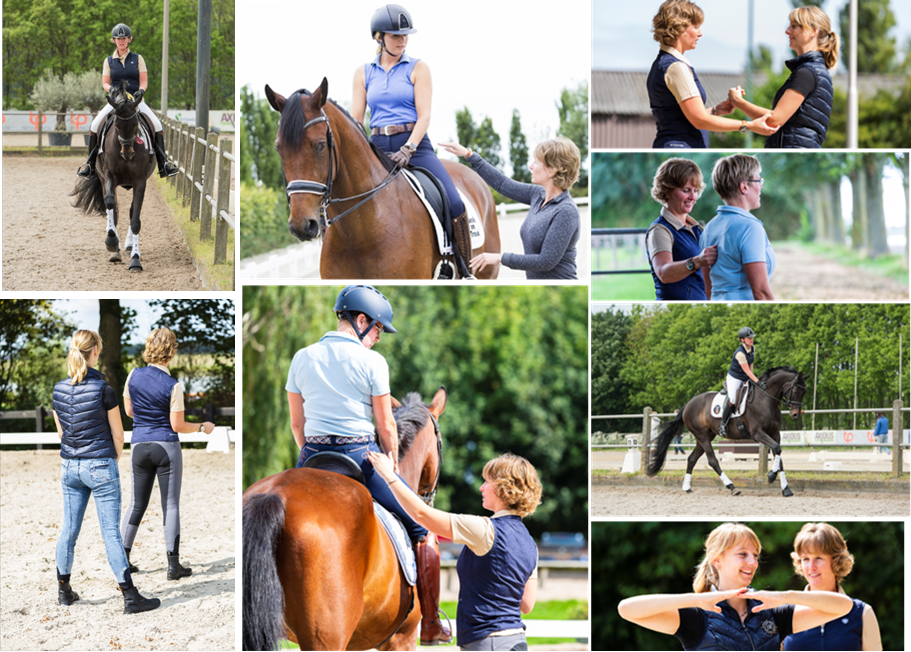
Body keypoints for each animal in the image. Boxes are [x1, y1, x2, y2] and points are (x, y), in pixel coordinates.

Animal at [71, 79, 155, 272]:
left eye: (136, 124)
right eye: (116, 125)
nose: (127, 153)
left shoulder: (140, 182)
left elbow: (135, 219)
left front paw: (135, 260)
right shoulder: (109, 176)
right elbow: (110, 204)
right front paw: (111, 242)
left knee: (131, 212)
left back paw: (129, 245)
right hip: (103, 179)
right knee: (114, 210)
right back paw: (115, 249)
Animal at [648, 364, 804, 496]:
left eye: (805, 391)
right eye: (796, 390)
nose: (795, 414)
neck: (765, 399)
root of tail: (688, 404)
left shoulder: (774, 434)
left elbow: (779, 455)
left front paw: (786, 489)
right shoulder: (758, 434)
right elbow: (777, 449)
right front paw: (771, 476)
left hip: (705, 437)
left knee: (692, 458)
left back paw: (687, 487)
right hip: (702, 436)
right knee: (712, 461)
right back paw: (731, 487)